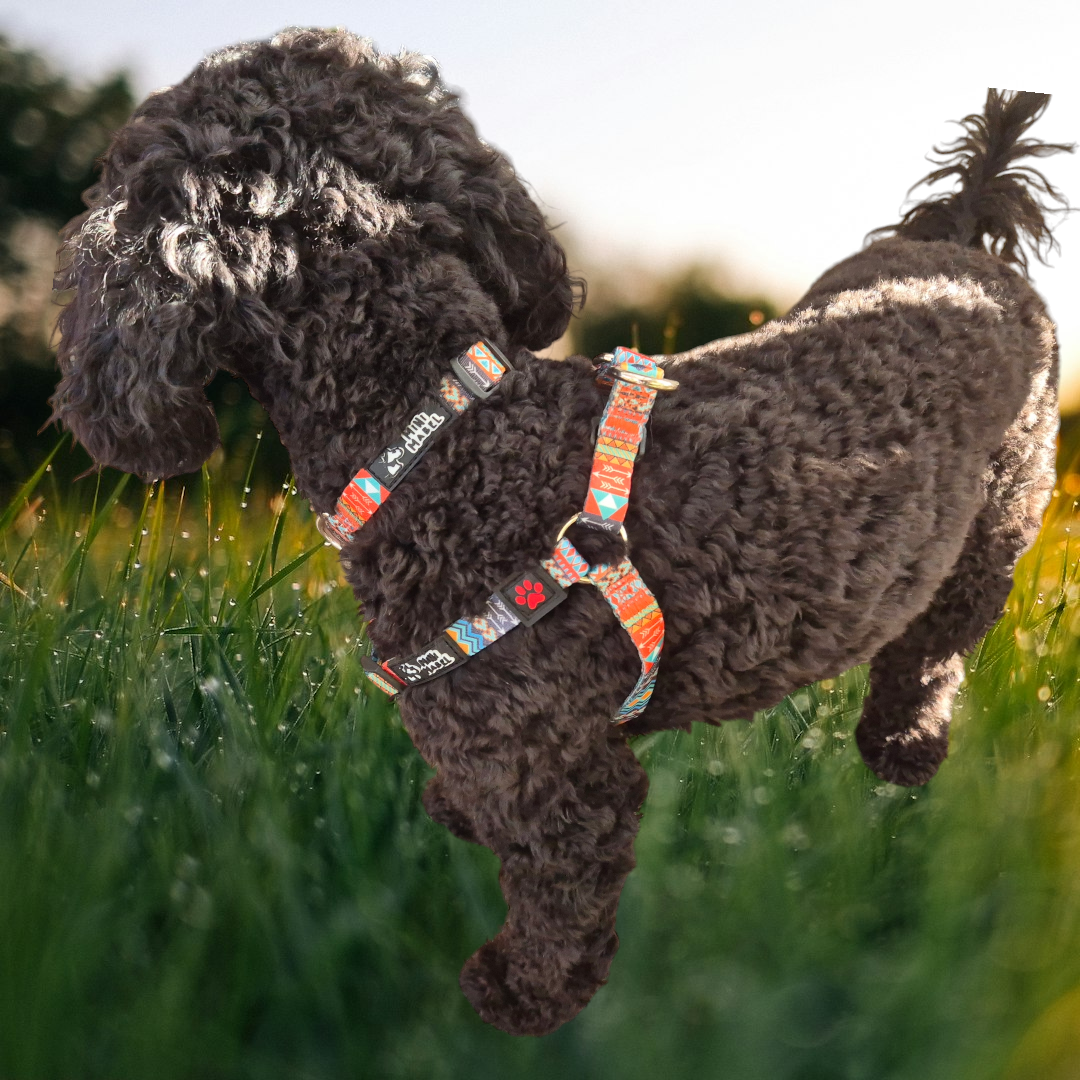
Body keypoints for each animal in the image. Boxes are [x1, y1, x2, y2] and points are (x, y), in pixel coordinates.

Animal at [48, 27, 1062, 1036]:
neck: (445, 432)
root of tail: (962, 238)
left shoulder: (554, 775)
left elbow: (556, 899)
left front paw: (522, 994)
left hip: (995, 529)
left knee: (931, 653)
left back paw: (901, 749)